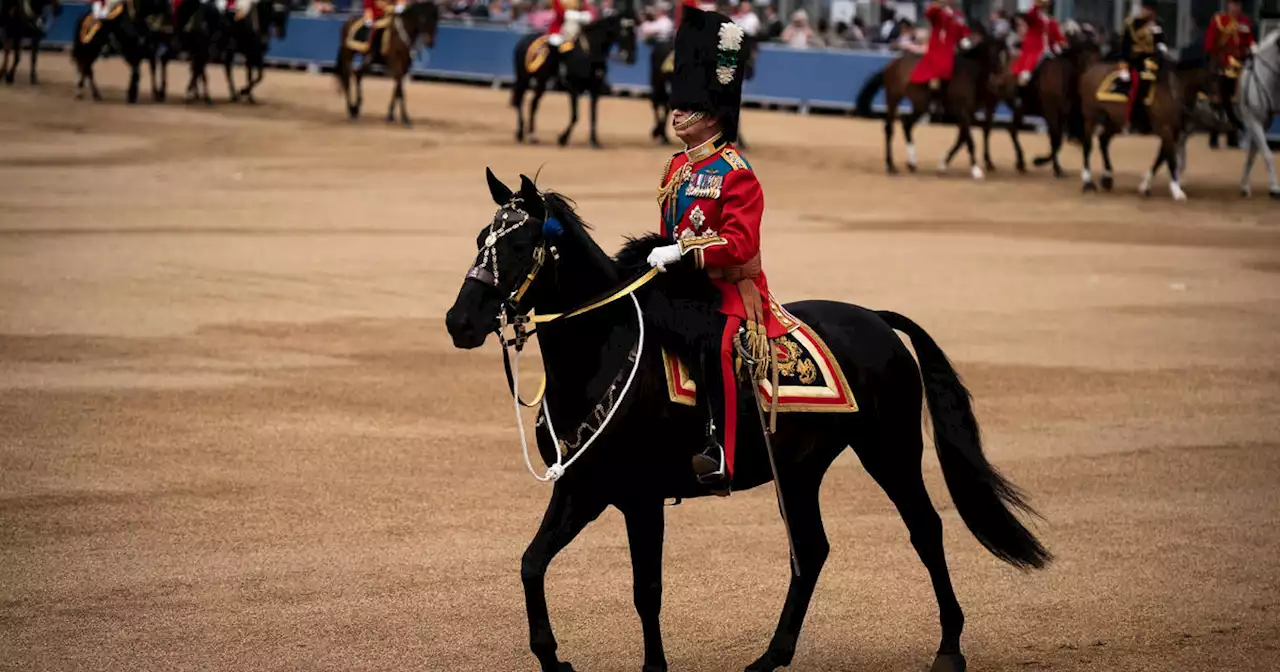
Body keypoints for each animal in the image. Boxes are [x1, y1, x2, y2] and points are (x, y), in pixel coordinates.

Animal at [445, 168, 1044, 672]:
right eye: (479, 240)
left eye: (519, 245)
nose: (459, 321)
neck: (601, 351)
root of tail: (875, 318)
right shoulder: (582, 488)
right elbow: (532, 563)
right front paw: (552, 658)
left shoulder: (639, 497)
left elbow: (646, 590)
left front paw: (653, 669)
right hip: (800, 470)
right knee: (813, 548)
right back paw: (770, 658)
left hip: (889, 451)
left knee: (925, 530)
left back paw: (949, 649)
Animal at [506, 7, 632, 147]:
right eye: (625, 33)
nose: (631, 59)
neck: (590, 52)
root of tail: (523, 40)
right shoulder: (573, 89)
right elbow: (575, 116)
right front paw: (563, 138)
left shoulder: (594, 90)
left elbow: (594, 116)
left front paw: (594, 141)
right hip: (524, 78)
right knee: (519, 101)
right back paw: (520, 133)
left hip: (541, 82)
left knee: (533, 103)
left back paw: (532, 135)